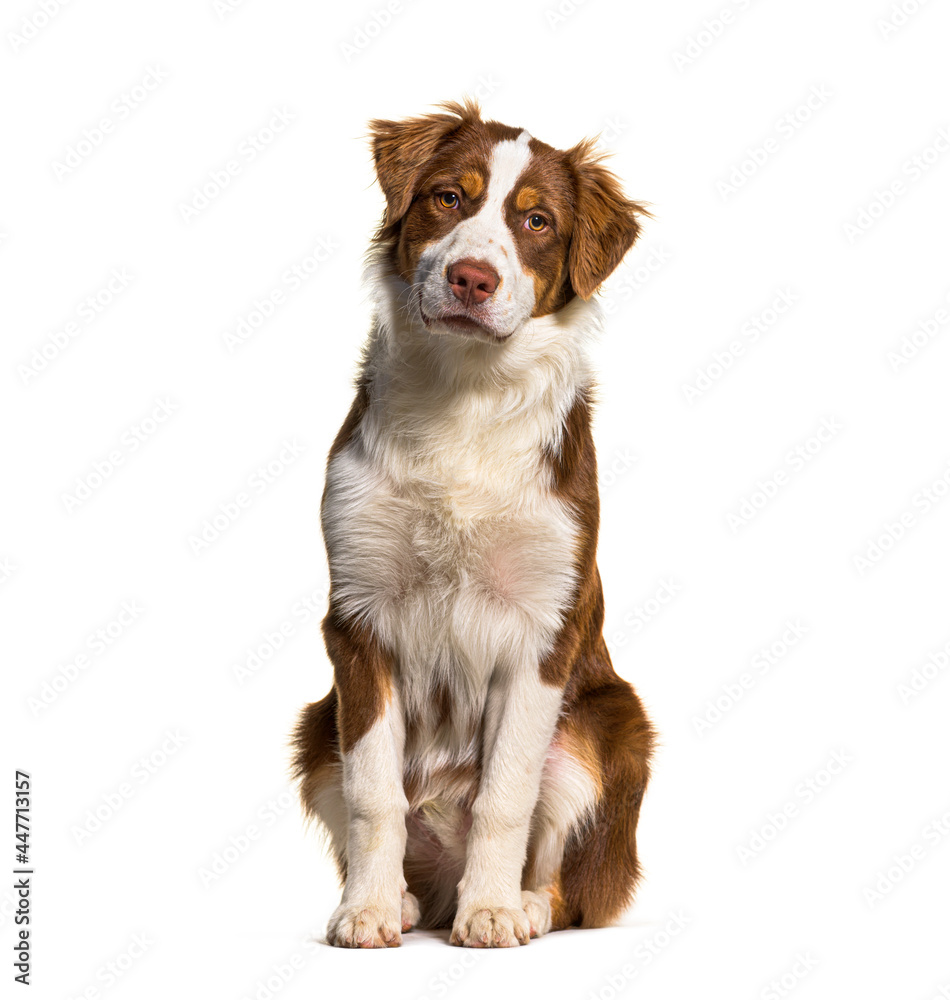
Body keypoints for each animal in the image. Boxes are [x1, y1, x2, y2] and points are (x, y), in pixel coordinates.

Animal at [294, 101, 660, 952]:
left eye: (537, 220)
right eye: (446, 198)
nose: (471, 278)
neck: (464, 396)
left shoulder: (541, 631)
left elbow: (506, 794)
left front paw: (491, 910)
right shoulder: (358, 624)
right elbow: (374, 794)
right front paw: (365, 911)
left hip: (609, 726)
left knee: (572, 886)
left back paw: (520, 904)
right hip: (315, 726)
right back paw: (400, 901)